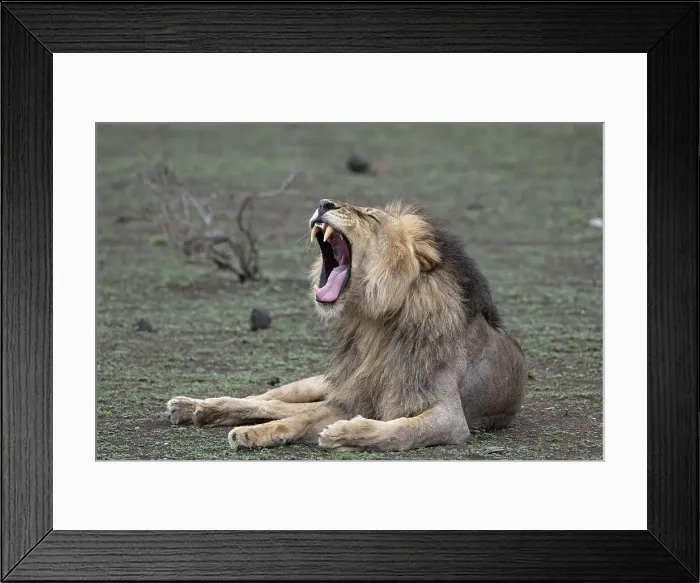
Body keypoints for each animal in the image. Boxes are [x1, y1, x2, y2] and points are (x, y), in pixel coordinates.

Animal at [167, 198, 527, 452]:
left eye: (370, 217)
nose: (324, 203)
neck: (376, 325)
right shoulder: (350, 397)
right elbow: (301, 417)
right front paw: (252, 434)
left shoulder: (450, 417)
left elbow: (401, 431)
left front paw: (344, 433)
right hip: (320, 383)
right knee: (271, 399)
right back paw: (194, 407)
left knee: (280, 407)